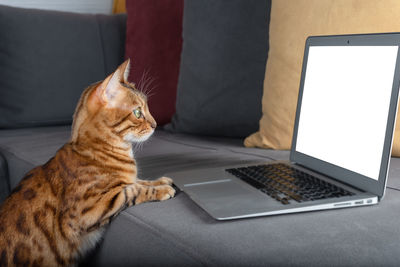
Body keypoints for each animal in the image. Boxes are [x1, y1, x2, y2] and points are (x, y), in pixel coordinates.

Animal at [0, 59, 175, 266]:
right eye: (138, 112)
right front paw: (162, 189)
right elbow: (132, 190)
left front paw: (160, 181)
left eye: (146, 108)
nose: (155, 125)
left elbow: (138, 181)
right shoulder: (87, 210)